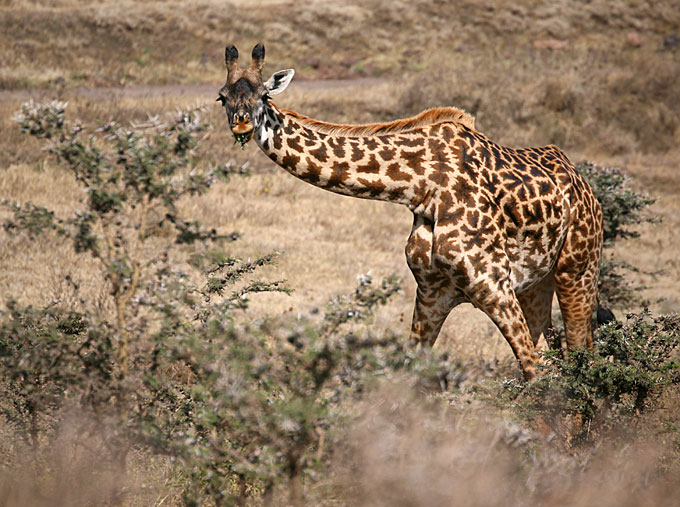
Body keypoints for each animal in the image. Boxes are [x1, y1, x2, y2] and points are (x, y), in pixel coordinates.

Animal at [217, 44, 604, 381]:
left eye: (264, 95)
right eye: (222, 96)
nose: (241, 124)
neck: (422, 187)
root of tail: (585, 186)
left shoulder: (493, 284)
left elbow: (535, 373)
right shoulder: (433, 291)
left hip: (577, 270)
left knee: (580, 355)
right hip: (536, 284)